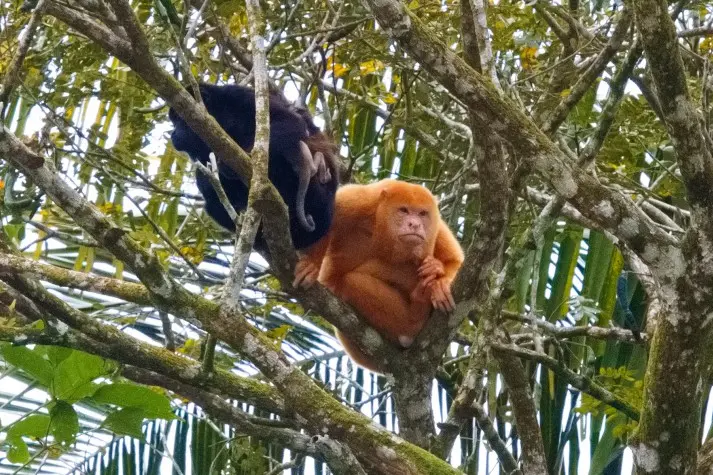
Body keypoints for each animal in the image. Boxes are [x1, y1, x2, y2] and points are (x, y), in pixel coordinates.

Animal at [168, 83, 339, 252]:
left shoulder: (238, 96)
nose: (173, 133)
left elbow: (289, 121)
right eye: (173, 122)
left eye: (179, 118)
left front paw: (240, 160)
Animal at [294, 179, 464, 372]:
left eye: (422, 214)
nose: (415, 224)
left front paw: (440, 279)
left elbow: (455, 260)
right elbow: (321, 220)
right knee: (352, 281)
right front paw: (312, 264)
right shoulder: (358, 201)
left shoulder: (437, 226)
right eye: (403, 210)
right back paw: (414, 321)